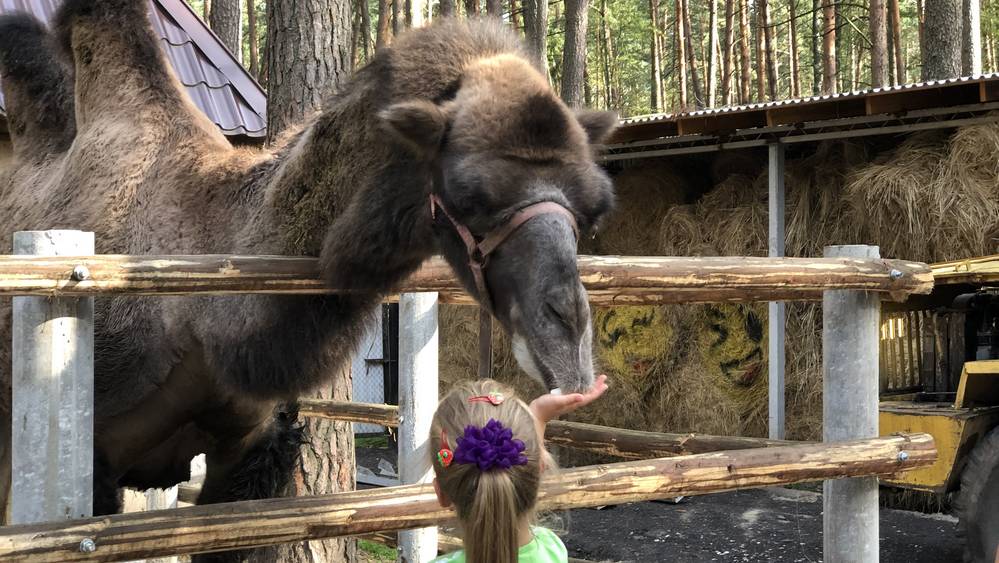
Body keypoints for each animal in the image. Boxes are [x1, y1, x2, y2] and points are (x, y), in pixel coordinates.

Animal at [0, 0, 616, 556]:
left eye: (594, 208)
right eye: (468, 195)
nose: (570, 344)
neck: (197, 320)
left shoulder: (254, 452)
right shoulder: (89, 457)